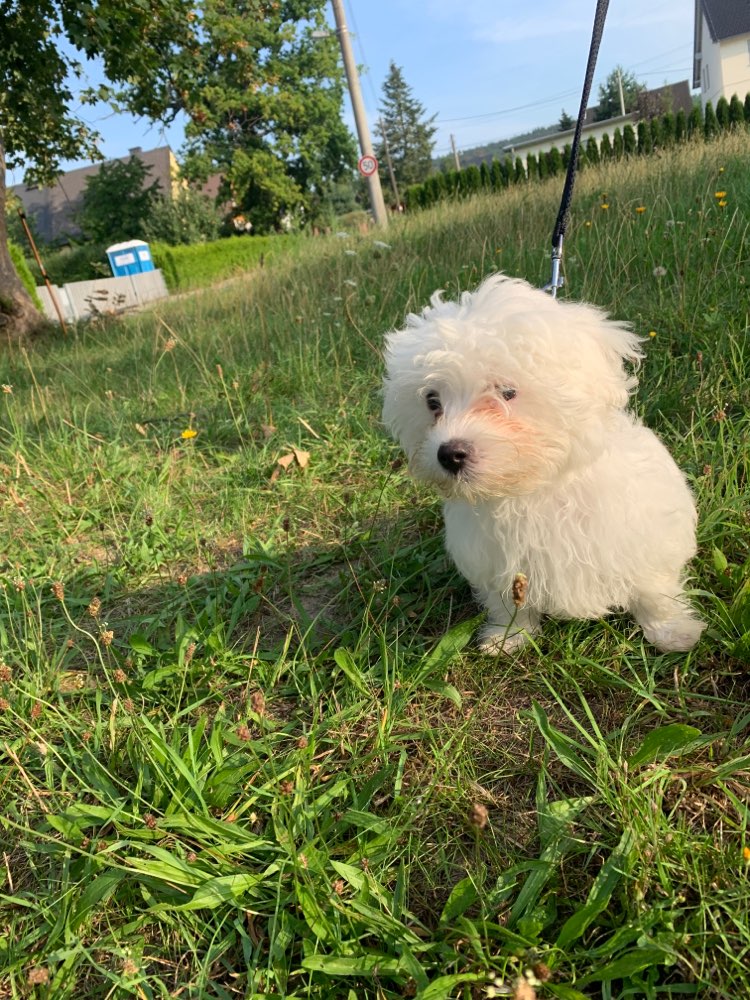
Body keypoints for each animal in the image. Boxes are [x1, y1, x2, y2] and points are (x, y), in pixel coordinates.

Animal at [384, 274, 708, 652]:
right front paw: (508, 637)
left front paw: (672, 631)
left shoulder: (645, 537)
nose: (450, 454)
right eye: (432, 401)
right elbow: (510, 601)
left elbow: (653, 589)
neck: (537, 489)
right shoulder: (498, 561)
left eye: (507, 392)